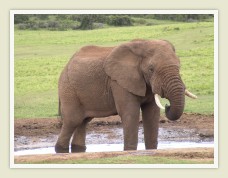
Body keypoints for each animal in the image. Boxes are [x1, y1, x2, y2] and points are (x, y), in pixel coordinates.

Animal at [54, 39, 196, 153]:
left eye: (179, 66)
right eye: (151, 69)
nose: (167, 105)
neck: (143, 44)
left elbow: (152, 114)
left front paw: (151, 149)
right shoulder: (118, 82)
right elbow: (130, 113)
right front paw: (130, 151)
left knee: (83, 121)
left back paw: (78, 149)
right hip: (68, 88)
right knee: (73, 120)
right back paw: (60, 150)